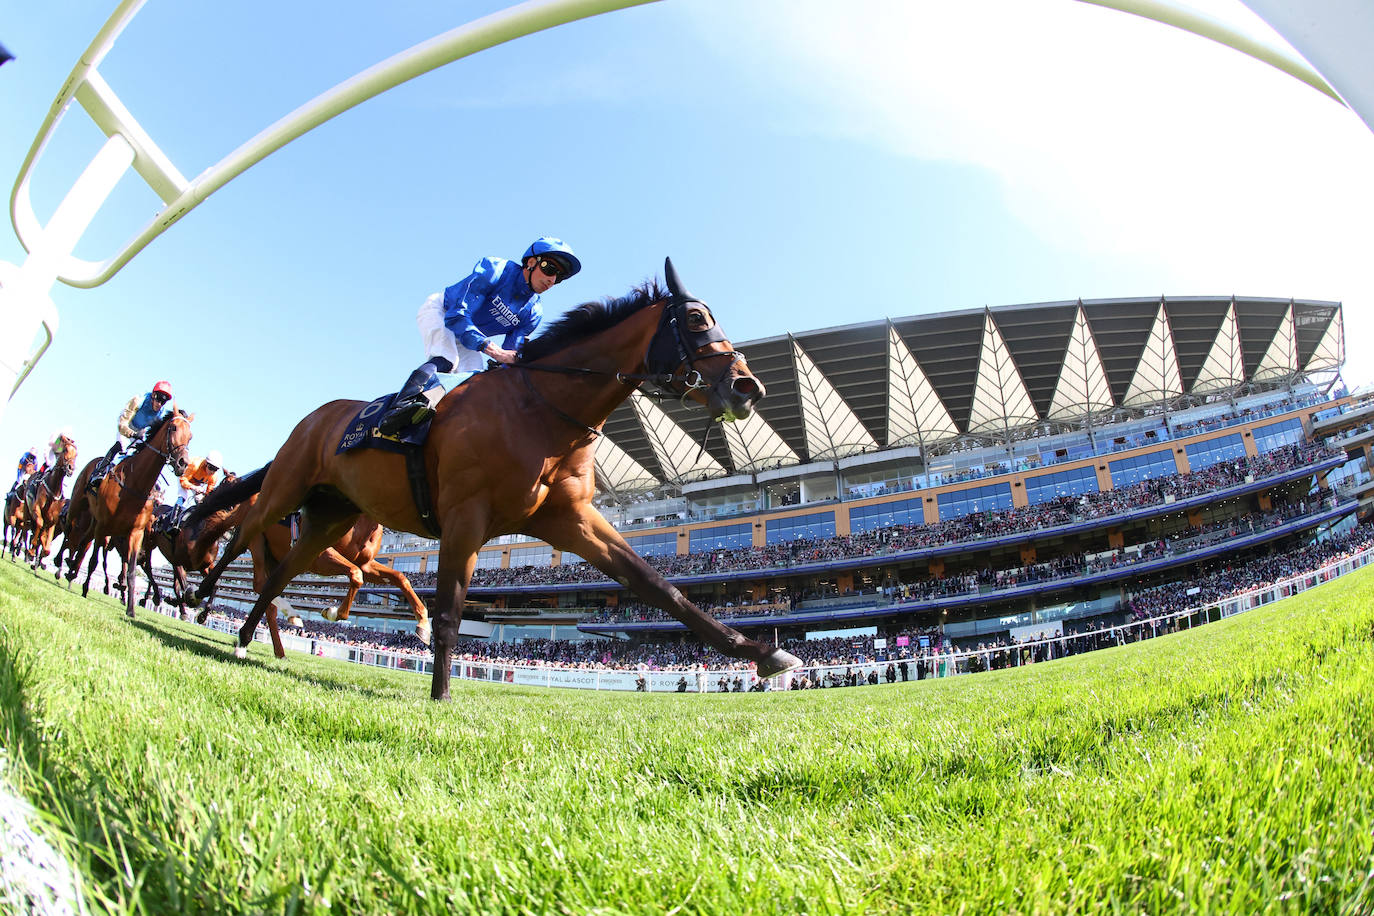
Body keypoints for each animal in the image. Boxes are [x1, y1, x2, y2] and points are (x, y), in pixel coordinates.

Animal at [188, 260, 802, 697]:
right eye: (697, 319)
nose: (749, 387)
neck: (540, 410)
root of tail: (316, 417)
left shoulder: (570, 517)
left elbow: (660, 586)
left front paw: (767, 655)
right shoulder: (466, 515)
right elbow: (450, 609)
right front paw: (440, 696)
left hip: (327, 517)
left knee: (280, 573)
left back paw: (243, 638)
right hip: (286, 489)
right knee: (243, 535)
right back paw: (198, 594)